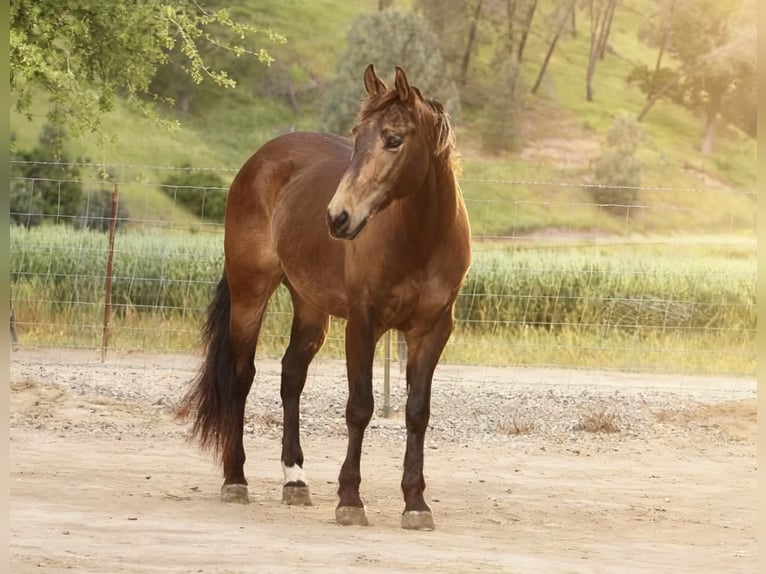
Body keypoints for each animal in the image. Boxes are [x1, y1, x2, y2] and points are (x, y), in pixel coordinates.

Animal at [178, 65, 471, 530]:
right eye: (355, 135)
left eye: (393, 139)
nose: (338, 217)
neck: (421, 239)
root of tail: (259, 160)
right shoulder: (363, 323)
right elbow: (360, 407)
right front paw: (350, 499)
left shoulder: (433, 330)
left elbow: (417, 412)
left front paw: (415, 503)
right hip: (250, 294)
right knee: (242, 378)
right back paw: (235, 478)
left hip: (311, 309)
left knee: (291, 376)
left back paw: (295, 480)